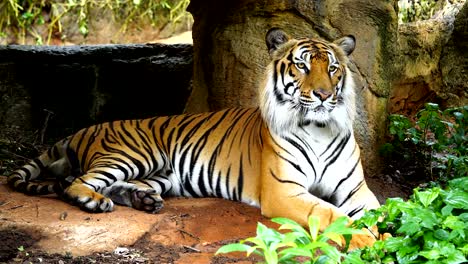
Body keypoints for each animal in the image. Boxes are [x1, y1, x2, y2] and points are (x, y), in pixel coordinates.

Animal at [6, 27, 380, 249]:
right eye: (302, 66)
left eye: (332, 68)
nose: (323, 95)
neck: (319, 129)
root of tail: (84, 128)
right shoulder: (284, 191)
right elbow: (332, 215)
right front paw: (365, 238)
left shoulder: (356, 189)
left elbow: (378, 212)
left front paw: (385, 234)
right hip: (135, 154)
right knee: (76, 182)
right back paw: (93, 201)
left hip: (161, 176)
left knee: (104, 184)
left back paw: (142, 200)